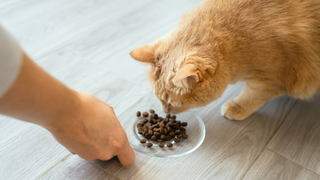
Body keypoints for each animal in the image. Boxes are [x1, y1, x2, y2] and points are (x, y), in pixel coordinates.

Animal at [129, 0, 320, 121]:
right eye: (160, 100)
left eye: (170, 103)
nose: (165, 112)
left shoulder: (271, 79)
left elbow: (252, 94)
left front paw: (238, 106)